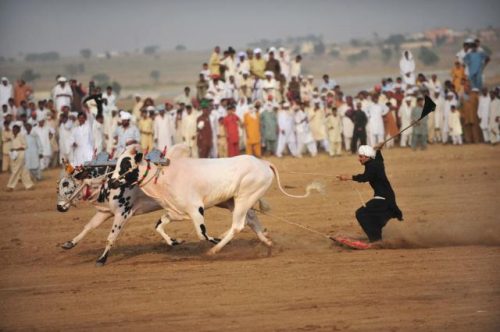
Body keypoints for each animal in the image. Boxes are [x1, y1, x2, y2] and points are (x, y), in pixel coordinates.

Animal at [109, 144, 320, 255]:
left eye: (125, 164)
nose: (111, 181)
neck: (164, 177)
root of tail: (263, 163)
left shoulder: (196, 210)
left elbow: (202, 234)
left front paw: (213, 241)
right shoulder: (175, 212)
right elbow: (159, 226)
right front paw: (175, 241)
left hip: (244, 198)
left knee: (238, 225)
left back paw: (216, 249)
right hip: (234, 202)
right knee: (251, 220)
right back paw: (267, 241)